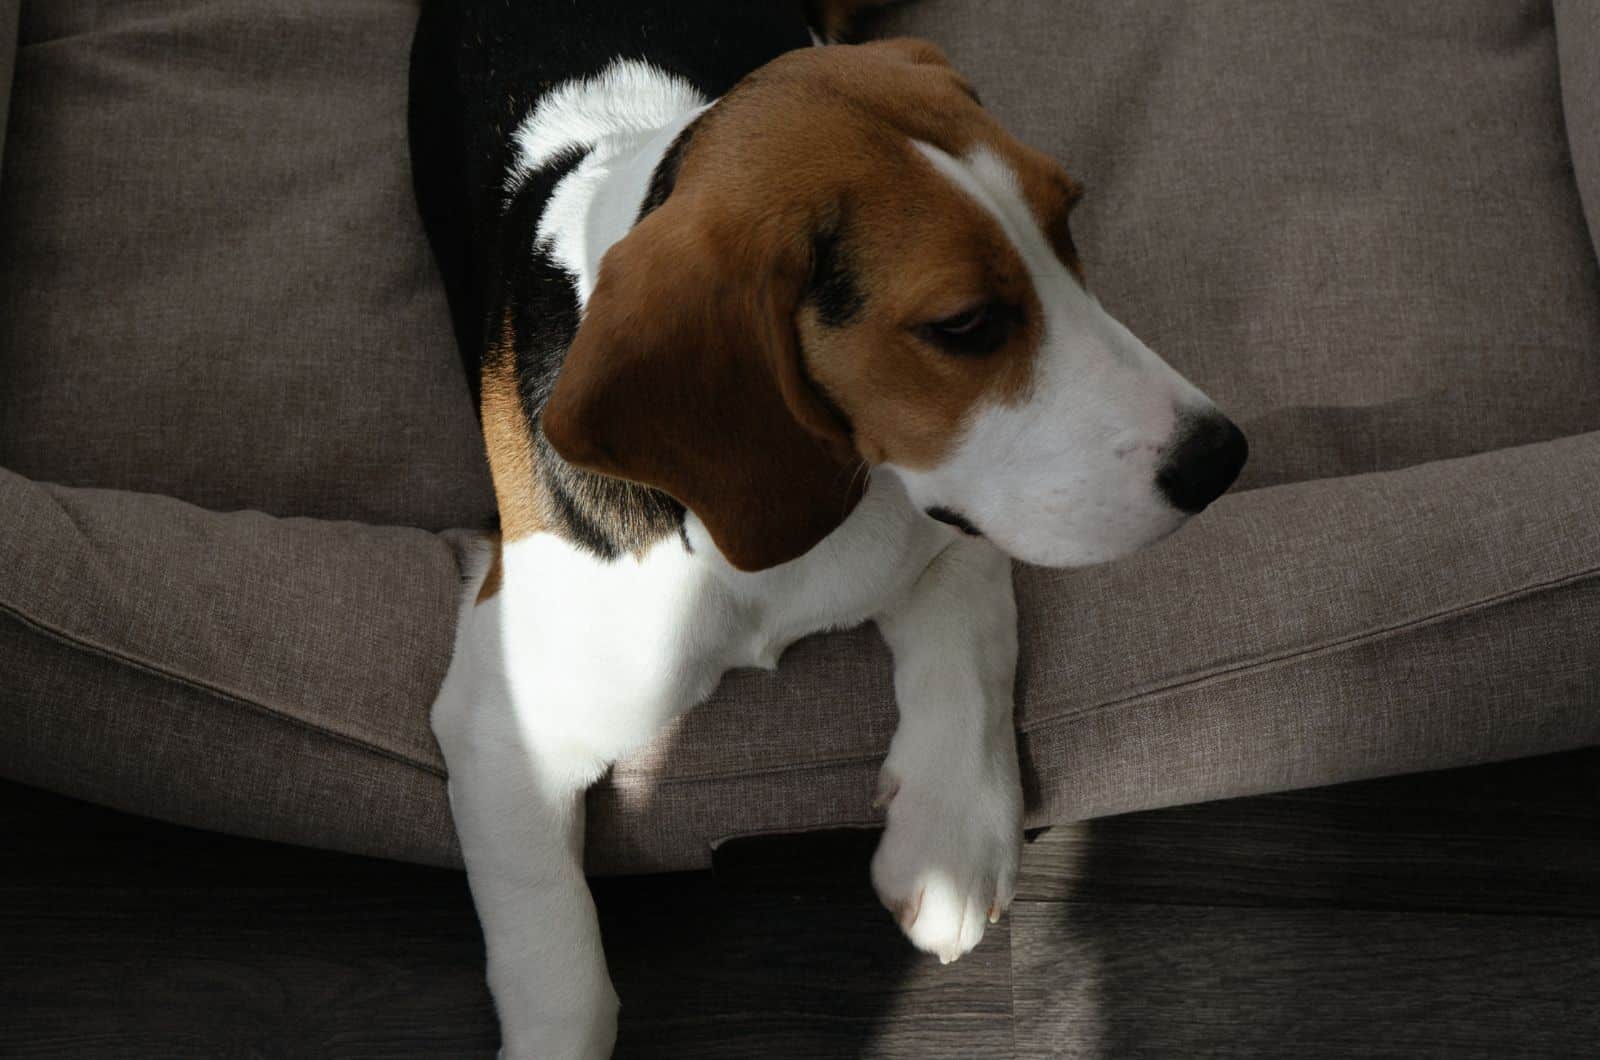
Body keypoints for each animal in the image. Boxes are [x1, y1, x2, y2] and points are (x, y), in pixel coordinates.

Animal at [406, 4, 1241, 1056]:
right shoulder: (504, 724)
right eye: (965, 325)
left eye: (1068, 224)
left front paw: (950, 844)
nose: (1222, 458)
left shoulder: (953, 524)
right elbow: (557, 968)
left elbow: (971, 658)